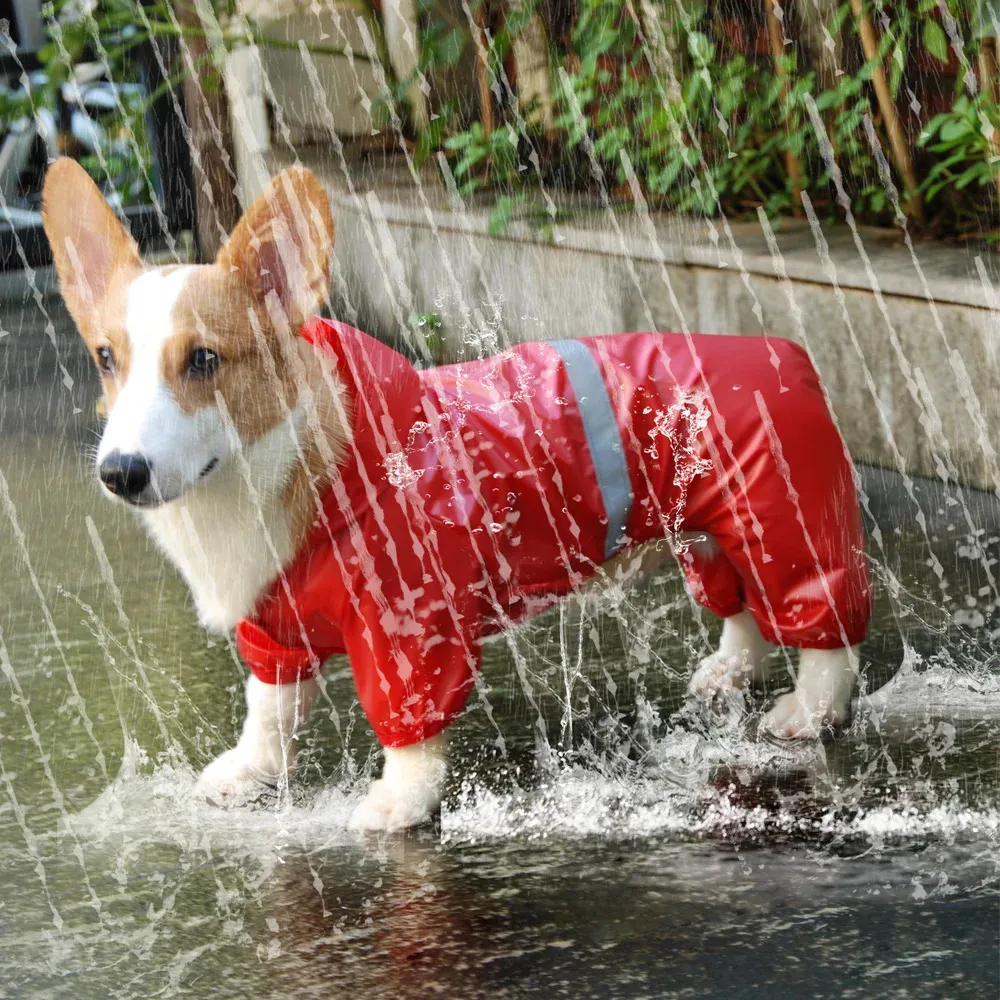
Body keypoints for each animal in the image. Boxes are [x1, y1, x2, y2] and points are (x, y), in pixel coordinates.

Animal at [43, 158, 872, 828]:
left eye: (205, 359)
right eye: (107, 358)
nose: (121, 471)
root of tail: (783, 353)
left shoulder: (409, 629)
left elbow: (408, 729)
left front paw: (398, 804)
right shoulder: (274, 630)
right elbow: (268, 708)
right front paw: (250, 773)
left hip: (784, 522)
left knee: (824, 628)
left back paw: (808, 713)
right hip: (708, 531)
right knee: (740, 605)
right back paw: (731, 670)